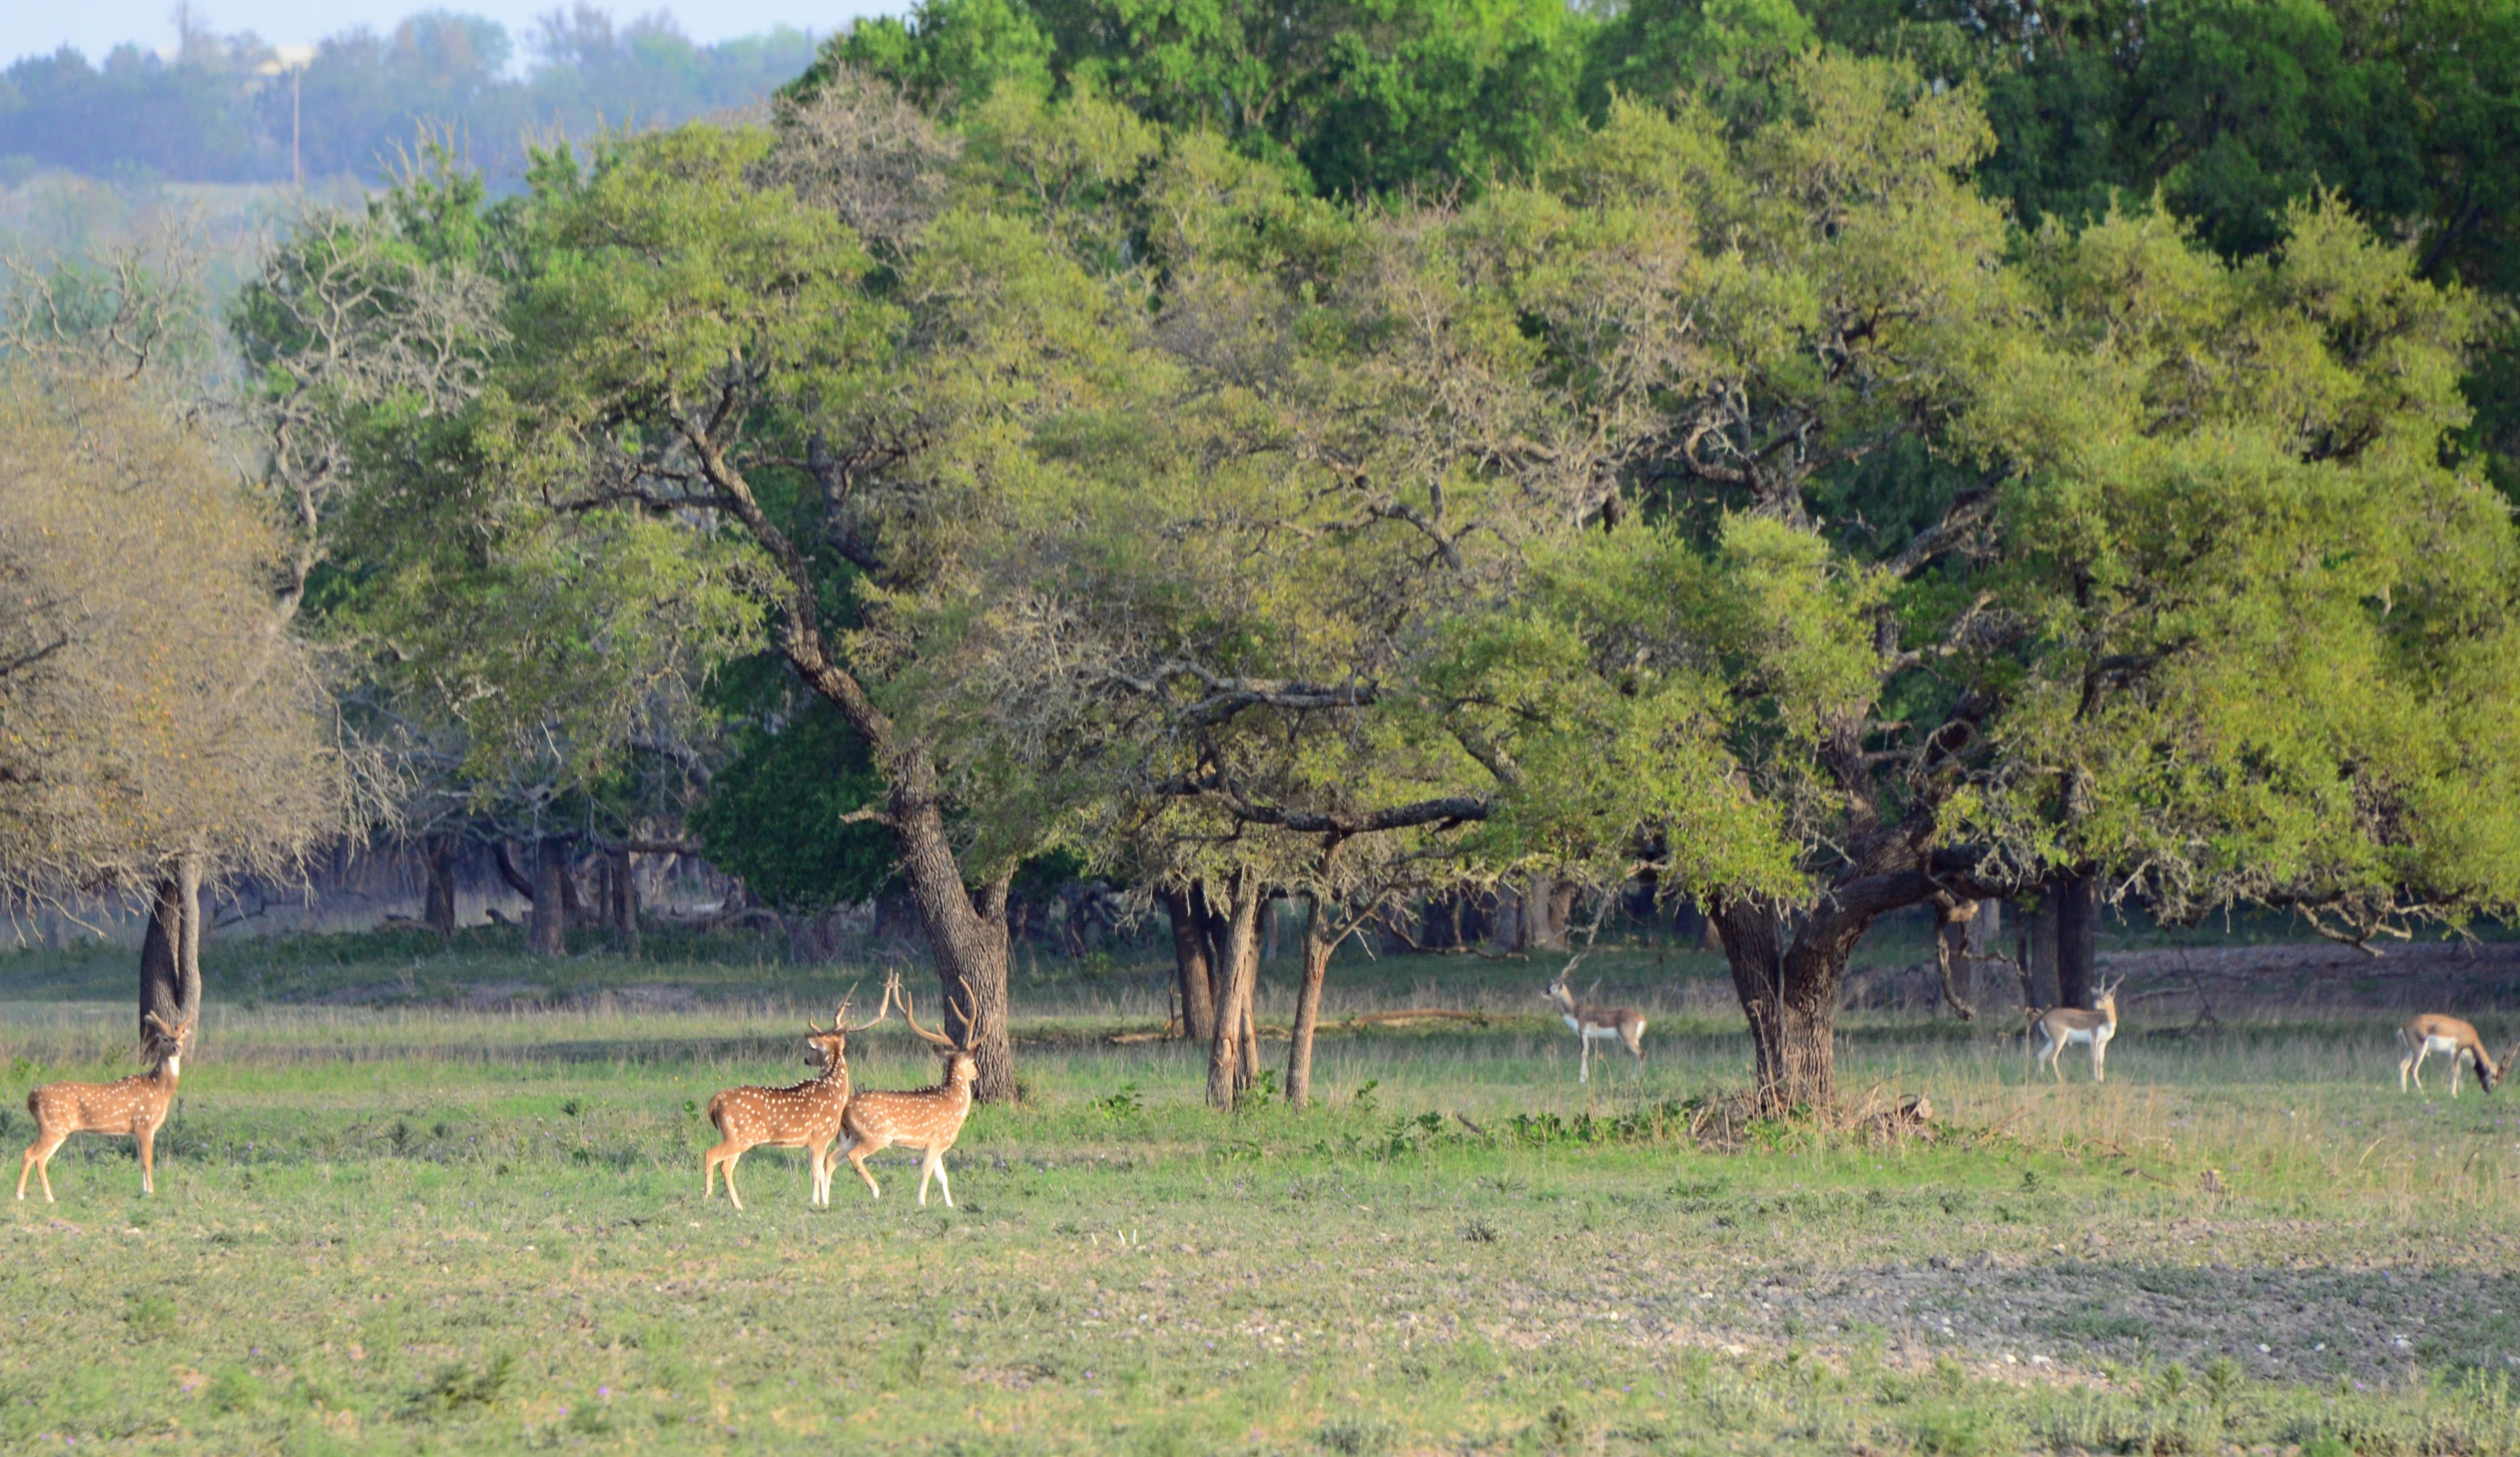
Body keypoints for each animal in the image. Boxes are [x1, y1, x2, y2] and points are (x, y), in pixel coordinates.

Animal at [18, 1003, 193, 1194]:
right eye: (165, 1039)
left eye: (181, 1038)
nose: (177, 1048)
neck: (158, 1087)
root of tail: (31, 1097)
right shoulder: (144, 1123)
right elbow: (147, 1160)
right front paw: (150, 1192)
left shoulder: (143, 1129)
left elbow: (141, 1160)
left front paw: (144, 1191)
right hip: (52, 1126)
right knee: (29, 1154)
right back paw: (20, 1195)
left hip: (56, 1129)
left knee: (40, 1159)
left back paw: (49, 1197)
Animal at [700, 983, 897, 1209]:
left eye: (813, 1050)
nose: (806, 1059)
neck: (833, 1092)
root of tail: (714, 1102)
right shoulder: (820, 1136)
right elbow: (818, 1172)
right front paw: (818, 1203)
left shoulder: (813, 1142)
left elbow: (815, 1172)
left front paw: (817, 1200)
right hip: (738, 1136)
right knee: (711, 1155)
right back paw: (707, 1197)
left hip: (737, 1137)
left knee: (726, 1166)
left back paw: (737, 1205)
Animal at [836, 983, 972, 1209]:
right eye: (973, 1062)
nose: (976, 1073)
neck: (955, 1103)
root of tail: (844, 1107)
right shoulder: (937, 1139)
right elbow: (926, 1171)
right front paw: (921, 1202)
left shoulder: (934, 1144)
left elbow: (942, 1176)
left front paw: (950, 1205)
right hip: (876, 1135)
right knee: (853, 1157)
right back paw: (875, 1191)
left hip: (851, 1136)